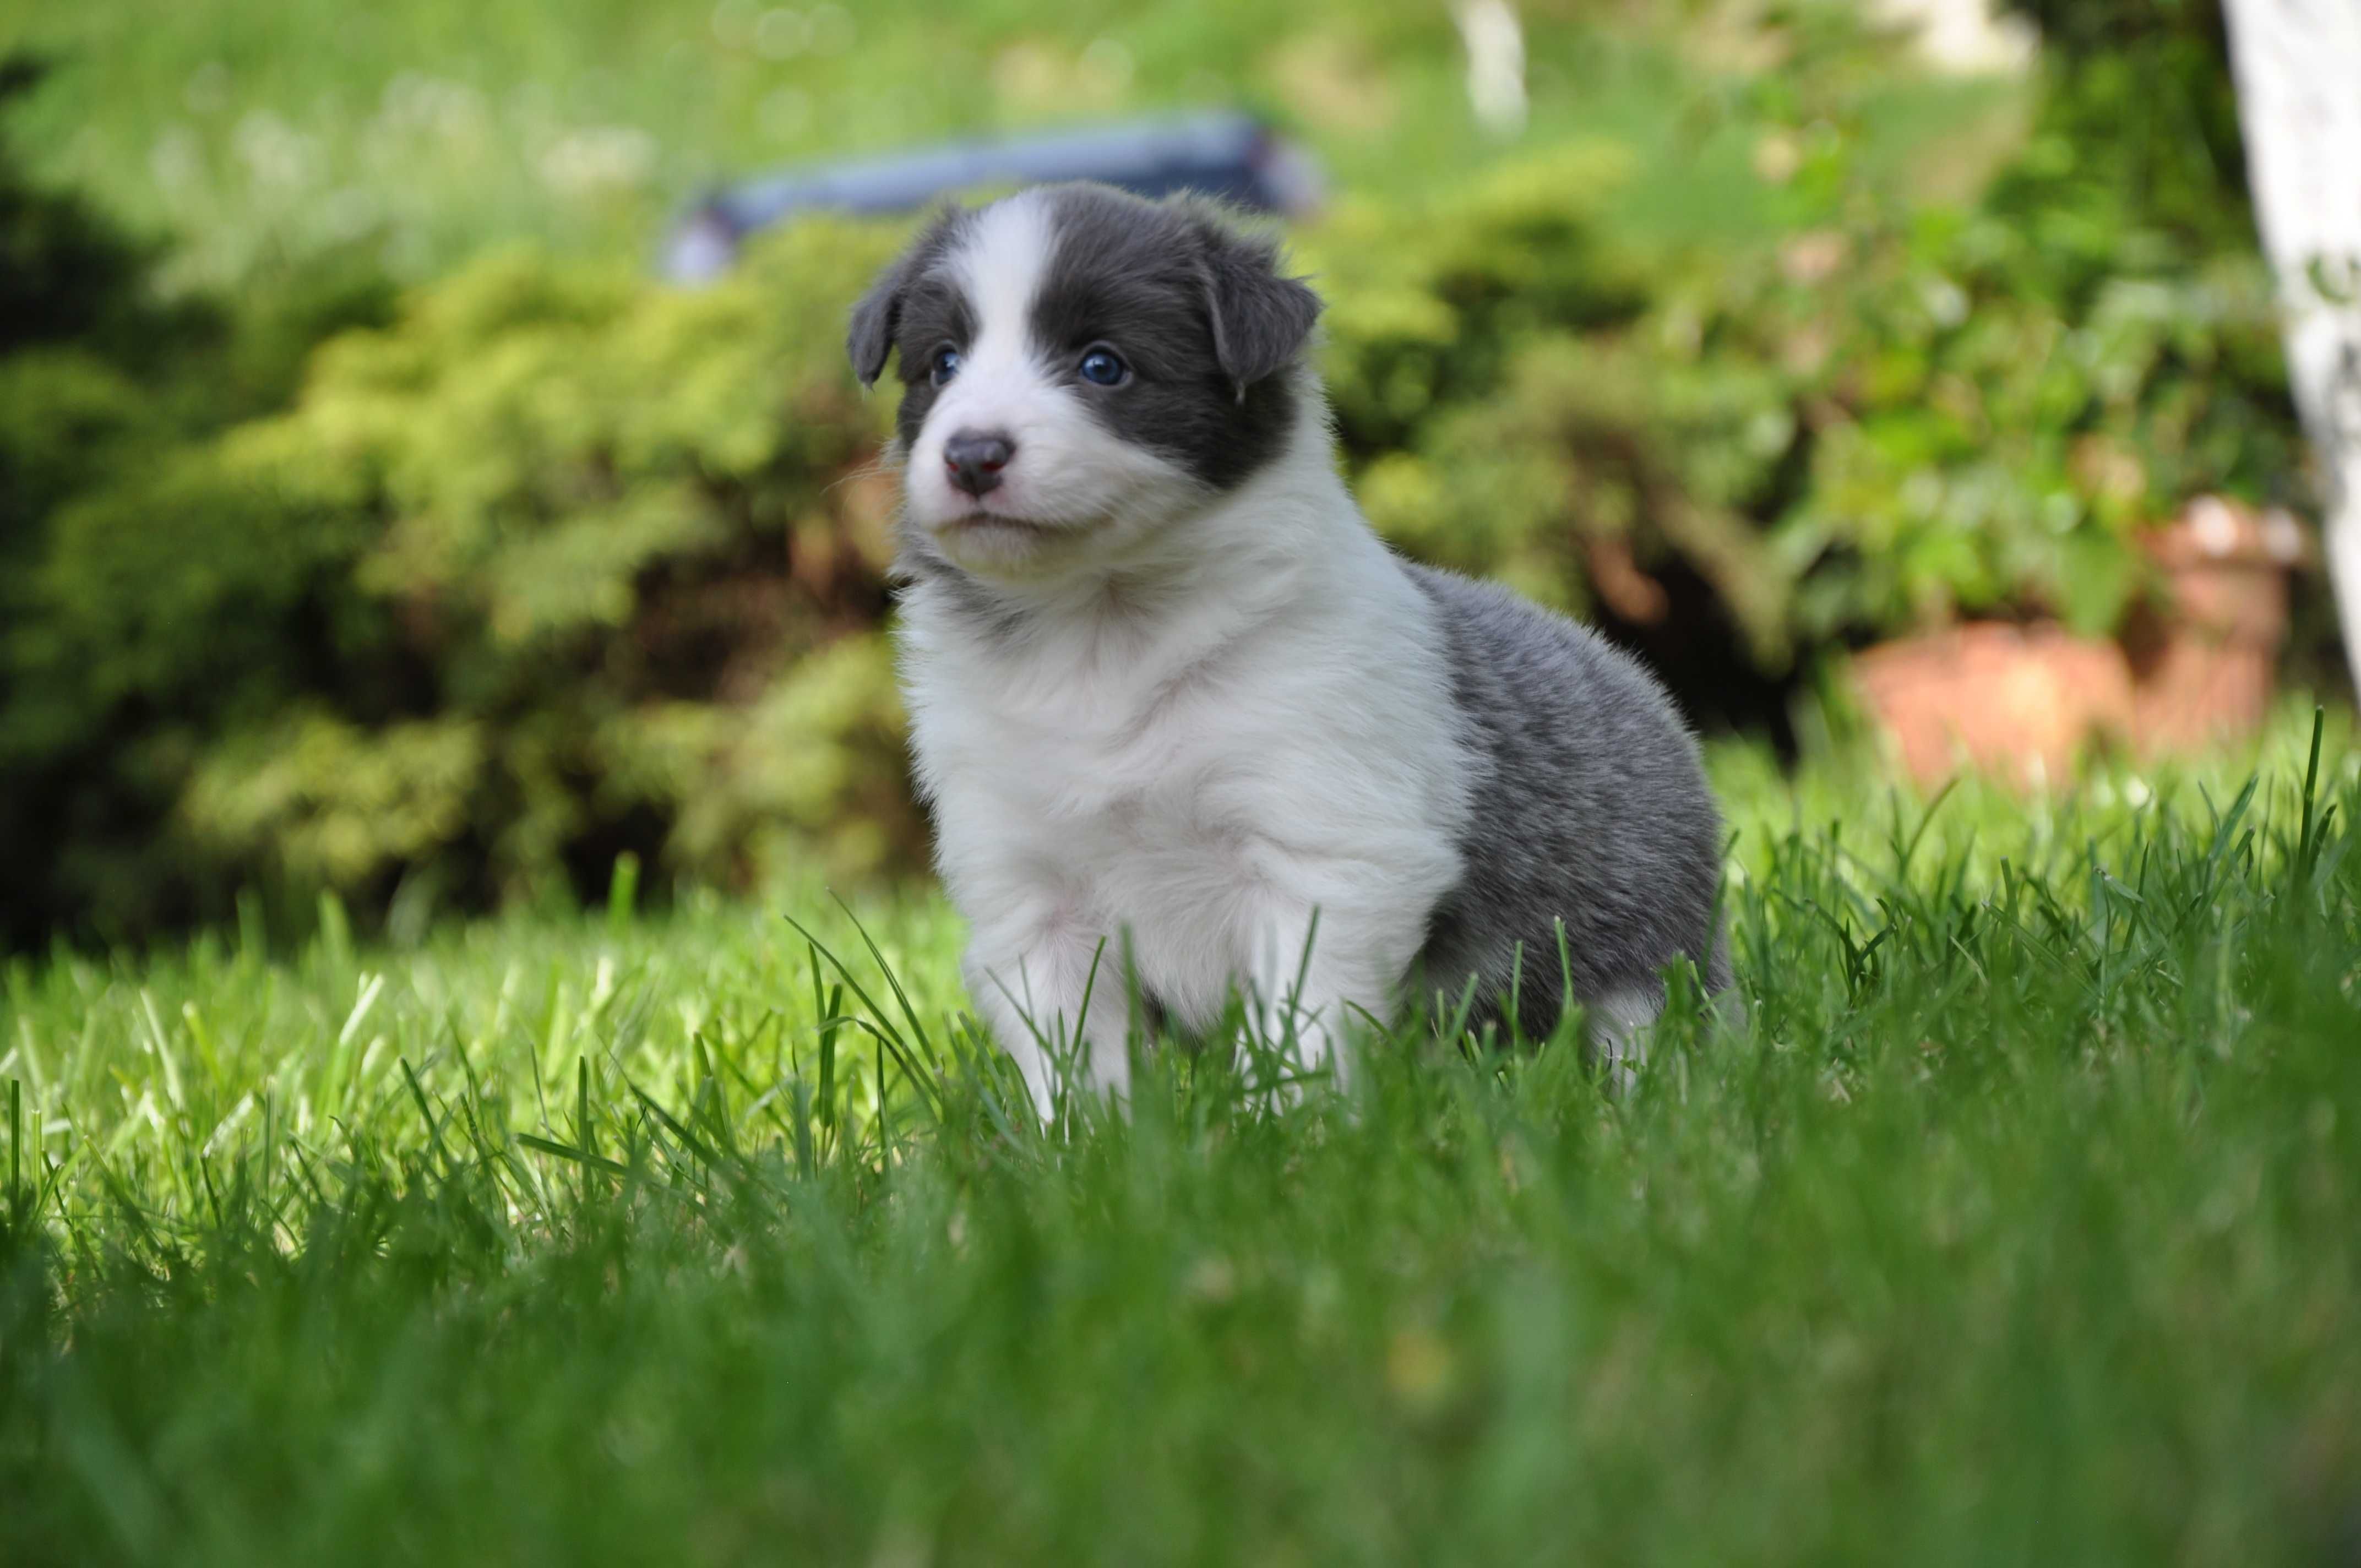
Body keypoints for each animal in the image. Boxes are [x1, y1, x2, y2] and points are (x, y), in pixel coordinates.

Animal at [850, 181, 1737, 1114]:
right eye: (943, 364)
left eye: (1103, 366)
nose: (972, 455)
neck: (1102, 635)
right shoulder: (1029, 889)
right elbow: (1072, 1053)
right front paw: (1086, 1140)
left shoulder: (1325, 853)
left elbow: (1300, 1025)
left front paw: (1291, 1128)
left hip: (1643, 946)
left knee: (1645, 1025)